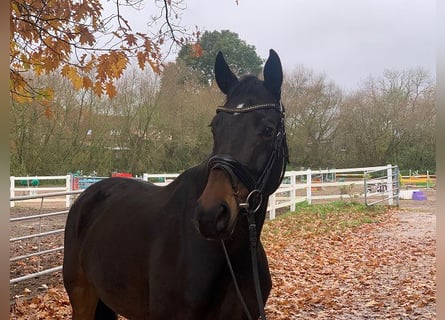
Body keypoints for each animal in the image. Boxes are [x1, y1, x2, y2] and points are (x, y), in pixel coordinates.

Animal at [62, 48, 288, 318]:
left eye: (268, 129)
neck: (232, 256)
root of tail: (88, 196)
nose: (211, 214)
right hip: (83, 296)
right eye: (214, 127)